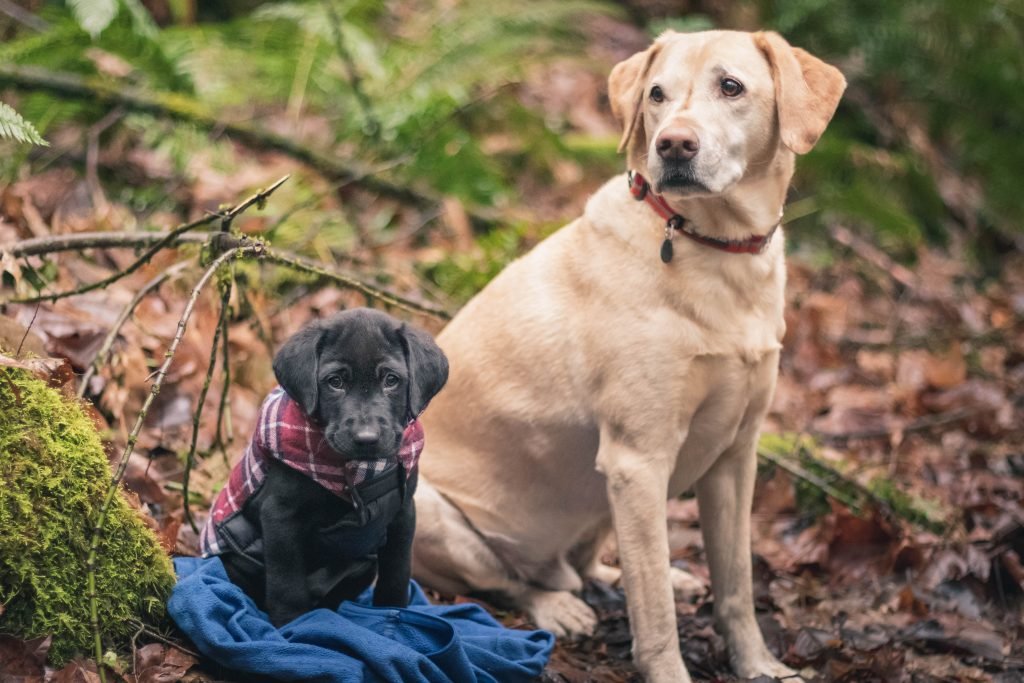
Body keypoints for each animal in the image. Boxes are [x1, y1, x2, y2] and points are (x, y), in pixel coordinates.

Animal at [203, 309, 448, 626]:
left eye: (391, 380)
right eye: (335, 382)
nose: (366, 438)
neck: (359, 471)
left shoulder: (403, 512)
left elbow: (397, 571)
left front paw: (395, 613)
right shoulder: (280, 516)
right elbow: (286, 582)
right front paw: (292, 626)